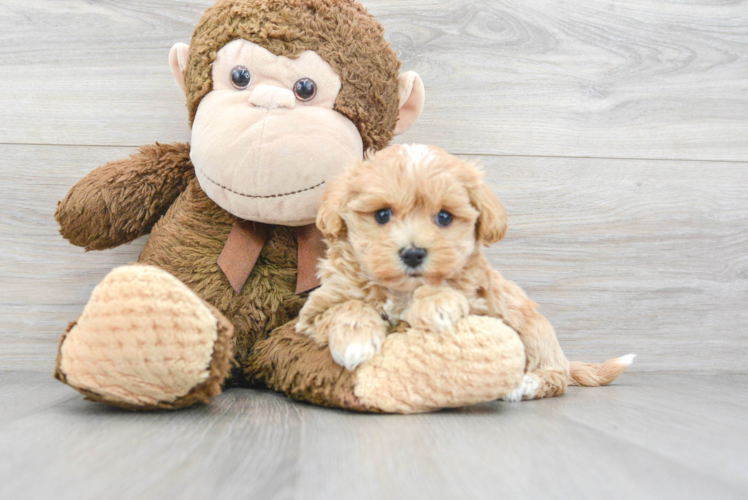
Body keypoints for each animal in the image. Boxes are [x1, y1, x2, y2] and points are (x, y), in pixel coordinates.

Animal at [296, 143, 636, 400]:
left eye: (444, 217)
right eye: (382, 215)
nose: (413, 253)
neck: (402, 289)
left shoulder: (483, 308)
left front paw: (435, 307)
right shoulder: (316, 310)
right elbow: (346, 307)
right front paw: (356, 342)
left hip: (535, 331)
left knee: (554, 377)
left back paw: (525, 384)